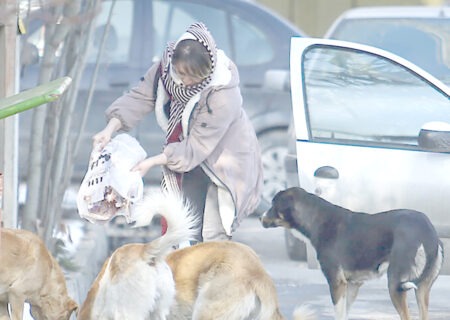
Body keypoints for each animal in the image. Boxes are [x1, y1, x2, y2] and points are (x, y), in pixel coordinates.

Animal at [260, 186, 442, 320]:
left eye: (273, 205)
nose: (260, 218)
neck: (316, 219)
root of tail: (428, 231)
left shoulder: (336, 282)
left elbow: (338, 314)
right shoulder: (353, 285)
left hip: (395, 284)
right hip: (422, 289)